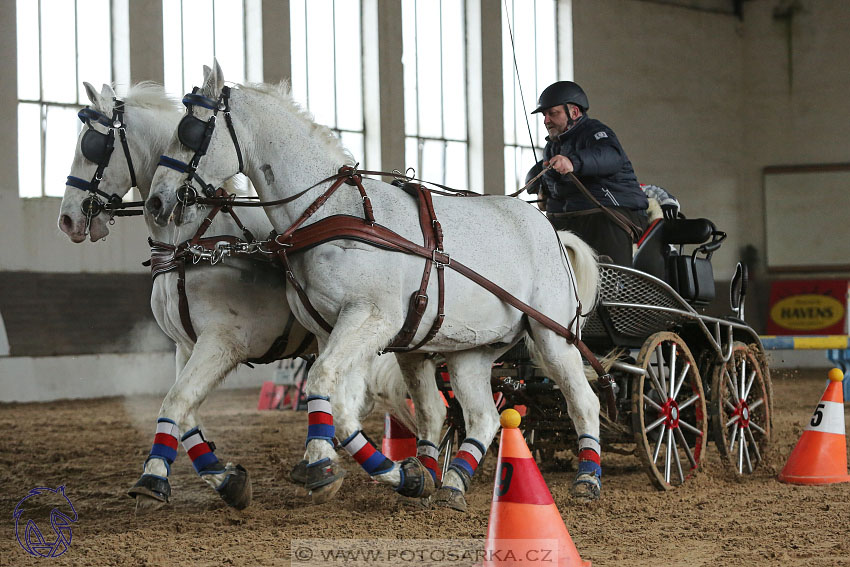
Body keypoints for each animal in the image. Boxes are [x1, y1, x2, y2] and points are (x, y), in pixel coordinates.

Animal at [58, 81, 438, 516]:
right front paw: (228, 480)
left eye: (92, 146)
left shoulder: (221, 343)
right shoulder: (186, 346)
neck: (191, 242)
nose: (67, 219)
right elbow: (185, 415)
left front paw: (153, 479)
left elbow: (175, 402)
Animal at [149, 62, 604, 510]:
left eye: (190, 130)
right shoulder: (327, 330)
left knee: (584, 401)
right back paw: (451, 485)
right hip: (471, 348)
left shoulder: (371, 319)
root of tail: (549, 228)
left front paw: (326, 468)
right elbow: (332, 397)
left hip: (551, 336)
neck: (333, 212)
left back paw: (587, 479)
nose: (156, 201)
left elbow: (325, 383)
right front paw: (371, 470)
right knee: (482, 416)